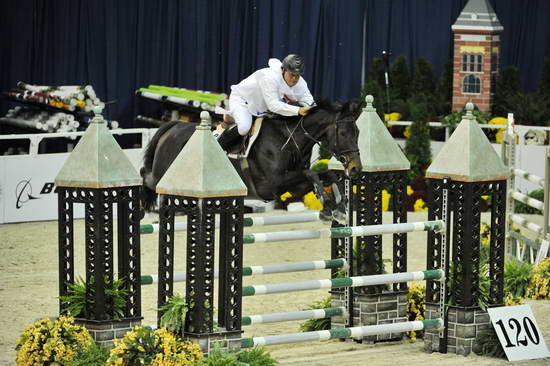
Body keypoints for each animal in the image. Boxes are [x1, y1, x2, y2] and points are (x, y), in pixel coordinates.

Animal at [142, 98, 364, 222]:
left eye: (358, 132)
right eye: (343, 133)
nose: (355, 169)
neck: (287, 138)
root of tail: (174, 126)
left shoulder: (293, 187)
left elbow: (325, 175)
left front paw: (338, 209)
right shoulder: (272, 184)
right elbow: (311, 174)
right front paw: (328, 205)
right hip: (164, 176)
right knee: (148, 178)